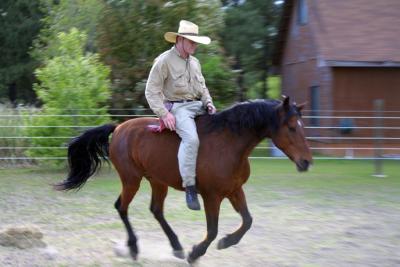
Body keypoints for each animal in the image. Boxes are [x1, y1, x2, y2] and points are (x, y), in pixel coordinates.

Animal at [55, 96, 312, 264]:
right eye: (291, 127)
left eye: (301, 125)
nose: (307, 162)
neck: (229, 144)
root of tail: (118, 128)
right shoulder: (211, 196)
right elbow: (212, 230)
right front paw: (195, 253)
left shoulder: (234, 190)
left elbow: (247, 221)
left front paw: (226, 242)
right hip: (131, 180)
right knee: (122, 207)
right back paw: (135, 248)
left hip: (157, 181)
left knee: (156, 210)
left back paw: (176, 247)